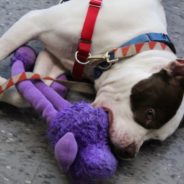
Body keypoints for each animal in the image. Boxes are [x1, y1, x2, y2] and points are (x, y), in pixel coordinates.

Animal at [0, 0, 183, 158]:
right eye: (149, 113)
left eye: (154, 139)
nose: (128, 153)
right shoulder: (35, 21)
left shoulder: (54, 58)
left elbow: (27, 91)